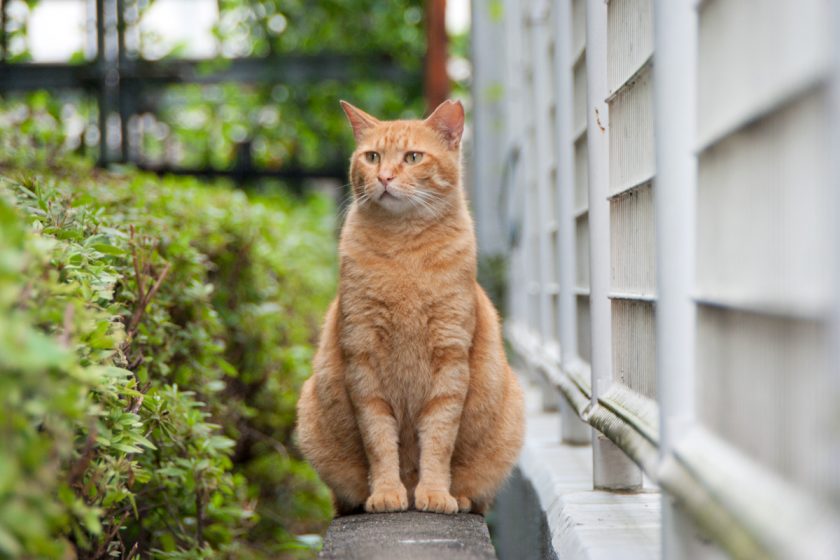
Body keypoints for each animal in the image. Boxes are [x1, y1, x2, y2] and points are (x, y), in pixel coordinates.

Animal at [292, 98, 520, 516]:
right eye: (372, 156)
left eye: (413, 157)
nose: (383, 177)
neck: (404, 252)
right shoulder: (362, 357)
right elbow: (380, 439)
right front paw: (385, 492)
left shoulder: (450, 358)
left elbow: (439, 439)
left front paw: (434, 493)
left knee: (479, 498)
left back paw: (459, 497)